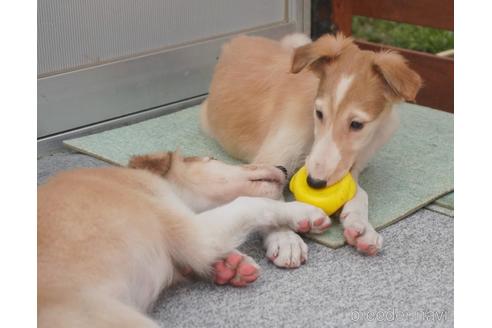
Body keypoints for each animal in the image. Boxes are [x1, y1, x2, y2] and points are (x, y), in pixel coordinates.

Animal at [39, 152, 330, 328]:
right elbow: (251, 204)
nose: (283, 167)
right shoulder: (196, 232)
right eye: (215, 159)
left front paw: (231, 267)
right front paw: (305, 213)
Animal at [202, 32, 420, 264]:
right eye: (319, 113)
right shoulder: (270, 159)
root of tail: (238, 39)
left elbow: (360, 193)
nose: (314, 183)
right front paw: (286, 240)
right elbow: (268, 200)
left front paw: (361, 227)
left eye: (357, 125)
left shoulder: (351, 166)